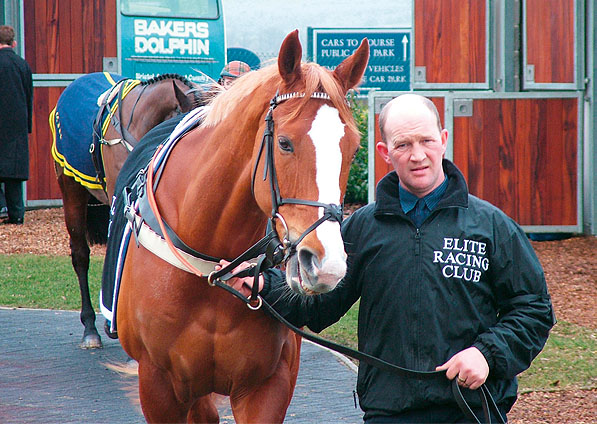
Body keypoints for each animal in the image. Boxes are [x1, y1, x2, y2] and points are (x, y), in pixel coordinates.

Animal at [113, 30, 368, 424]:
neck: (210, 270)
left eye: (354, 148)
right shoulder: (158, 386)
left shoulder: (268, 385)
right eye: (284, 143)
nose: (326, 264)